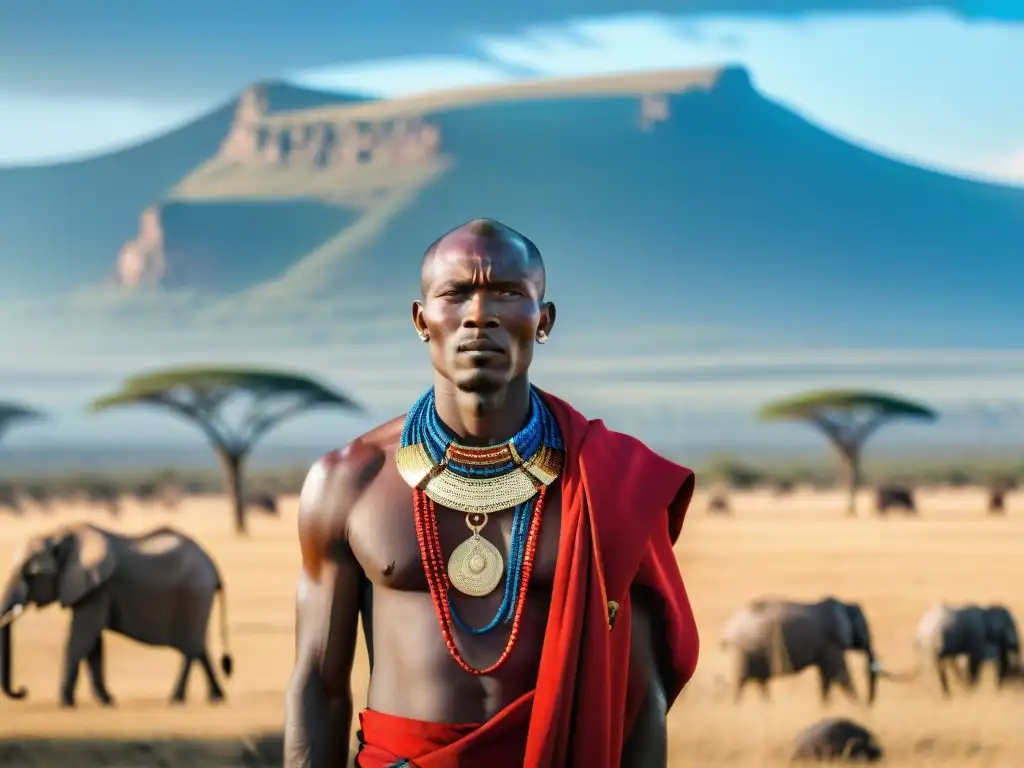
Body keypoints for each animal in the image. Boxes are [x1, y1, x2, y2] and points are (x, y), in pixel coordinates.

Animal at [0, 524, 232, 708]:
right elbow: (94, 646)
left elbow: (81, 639)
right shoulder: (93, 590)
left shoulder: (99, 589)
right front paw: (107, 701)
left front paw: (65, 703)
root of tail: (213, 566)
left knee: (190, 650)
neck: (63, 533)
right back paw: (216, 697)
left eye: (30, 575)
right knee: (200, 648)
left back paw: (176, 699)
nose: (23, 691)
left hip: (195, 595)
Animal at [720, 598, 913, 708]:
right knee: (740, 685)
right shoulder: (832, 643)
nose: (868, 704)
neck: (845, 607)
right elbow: (839, 675)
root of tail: (727, 632)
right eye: (866, 630)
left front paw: (825, 709)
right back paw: (737, 708)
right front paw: (857, 708)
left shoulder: (826, 649)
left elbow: (825, 679)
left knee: (761, 684)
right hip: (743, 652)